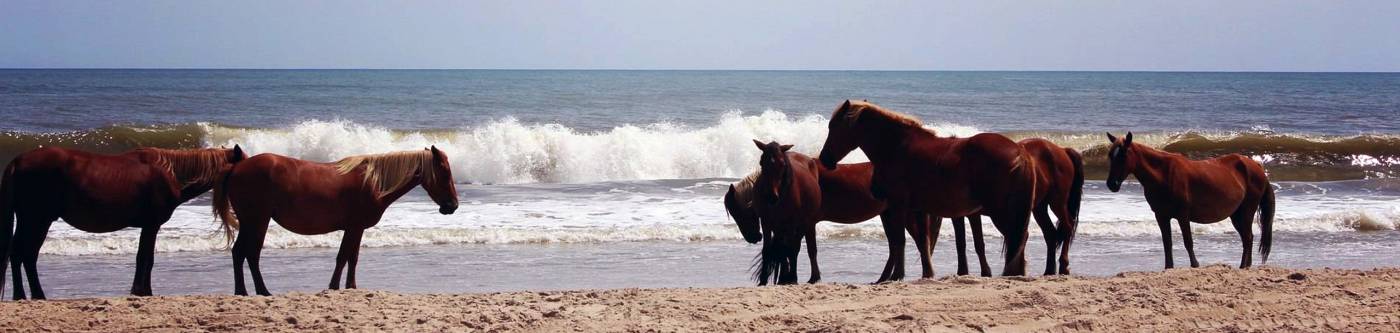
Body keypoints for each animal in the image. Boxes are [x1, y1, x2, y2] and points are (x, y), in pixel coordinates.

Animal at [0, 145, 245, 299]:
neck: (171, 173)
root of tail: (17, 161)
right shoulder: (152, 225)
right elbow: (146, 259)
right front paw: (143, 291)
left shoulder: (148, 226)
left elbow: (144, 258)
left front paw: (141, 291)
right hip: (36, 220)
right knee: (23, 255)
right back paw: (29, 295)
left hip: (34, 221)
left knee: (21, 255)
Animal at [211, 146, 459, 295]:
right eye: (445, 173)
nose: (453, 206)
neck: (372, 181)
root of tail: (237, 166)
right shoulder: (354, 227)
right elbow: (343, 258)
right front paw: (335, 286)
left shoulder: (355, 229)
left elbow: (351, 258)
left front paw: (350, 287)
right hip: (257, 221)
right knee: (250, 254)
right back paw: (261, 291)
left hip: (250, 222)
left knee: (239, 253)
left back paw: (243, 291)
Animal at [817, 100, 1036, 279]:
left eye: (834, 127)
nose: (824, 159)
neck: (896, 147)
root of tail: (1020, 152)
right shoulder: (918, 209)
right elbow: (923, 242)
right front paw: (927, 274)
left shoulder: (899, 206)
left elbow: (900, 241)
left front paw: (898, 275)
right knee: (1018, 237)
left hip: (1001, 211)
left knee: (1016, 236)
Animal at [912, 137, 1086, 275]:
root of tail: (1062, 150)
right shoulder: (959, 215)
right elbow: (960, 243)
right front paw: (962, 271)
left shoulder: (973, 214)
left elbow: (978, 242)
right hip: (1039, 208)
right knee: (1050, 234)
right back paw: (1049, 270)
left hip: (1057, 202)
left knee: (1067, 226)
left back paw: (1063, 266)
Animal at [1103, 132, 1282, 268]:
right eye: (1110, 155)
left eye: (1123, 155)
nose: (1112, 184)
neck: (1164, 174)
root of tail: (1256, 166)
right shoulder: (1161, 216)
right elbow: (1167, 243)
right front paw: (1169, 267)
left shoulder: (1183, 216)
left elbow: (1188, 241)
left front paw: (1195, 265)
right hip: (1236, 215)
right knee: (1247, 238)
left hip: (1246, 212)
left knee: (1248, 238)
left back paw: (1244, 266)